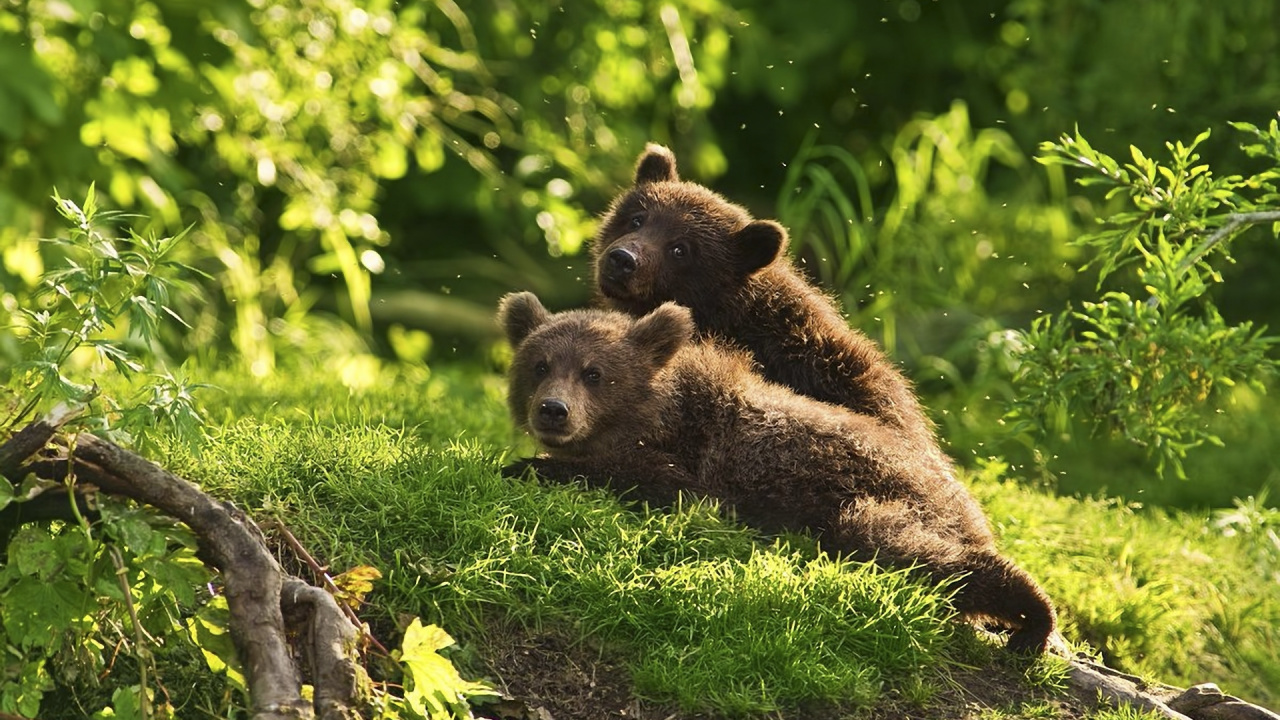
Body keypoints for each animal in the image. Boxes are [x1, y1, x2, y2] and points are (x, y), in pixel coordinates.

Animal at [498, 291, 1058, 654]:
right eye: (540, 364)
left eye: (594, 373)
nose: (553, 411)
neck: (658, 413)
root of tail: (967, 502)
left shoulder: (696, 464)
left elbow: (648, 479)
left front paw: (524, 465)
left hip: (884, 499)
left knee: (908, 547)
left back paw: (1032, 617)